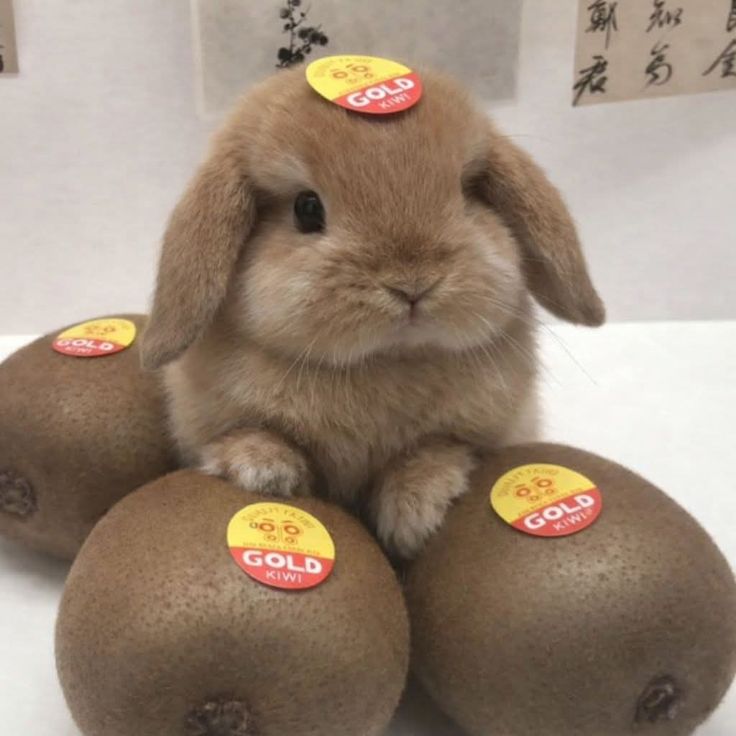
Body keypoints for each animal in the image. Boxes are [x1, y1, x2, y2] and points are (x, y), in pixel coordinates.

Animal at [141, 65, 605, 559]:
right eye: (306, 208)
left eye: (466, 194)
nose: (412, 283)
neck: (382, 363)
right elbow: (255, 433)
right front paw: (260, 470)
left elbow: (437, 450)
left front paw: (416, 510)